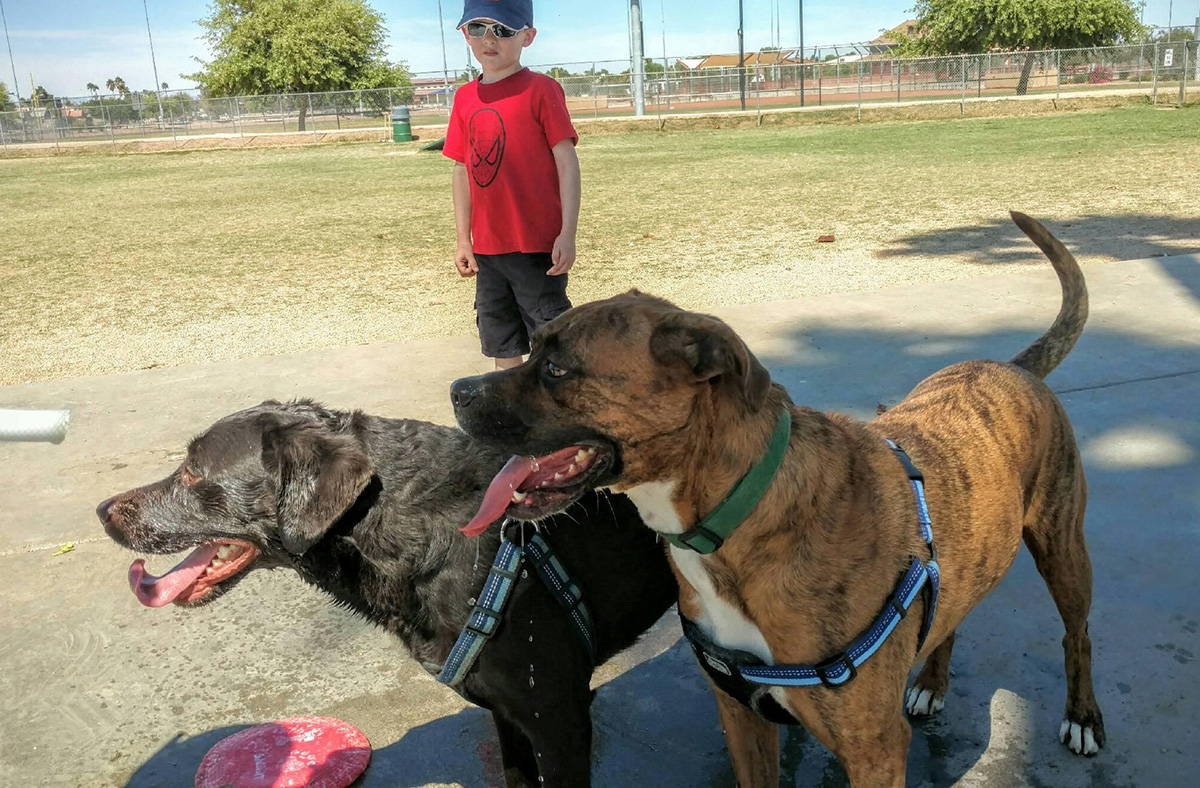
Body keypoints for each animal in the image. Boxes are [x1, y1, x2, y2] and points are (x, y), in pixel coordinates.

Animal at [451, 212, 1104, 782]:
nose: (458, 390)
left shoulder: (874, 751)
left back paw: (1081, 717)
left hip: (1064, 551)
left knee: (1078, 635)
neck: (733, 516)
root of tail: (1011, 367)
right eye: (533, 349)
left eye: (557, 369)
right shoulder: (741, 716)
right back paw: (932, 682)